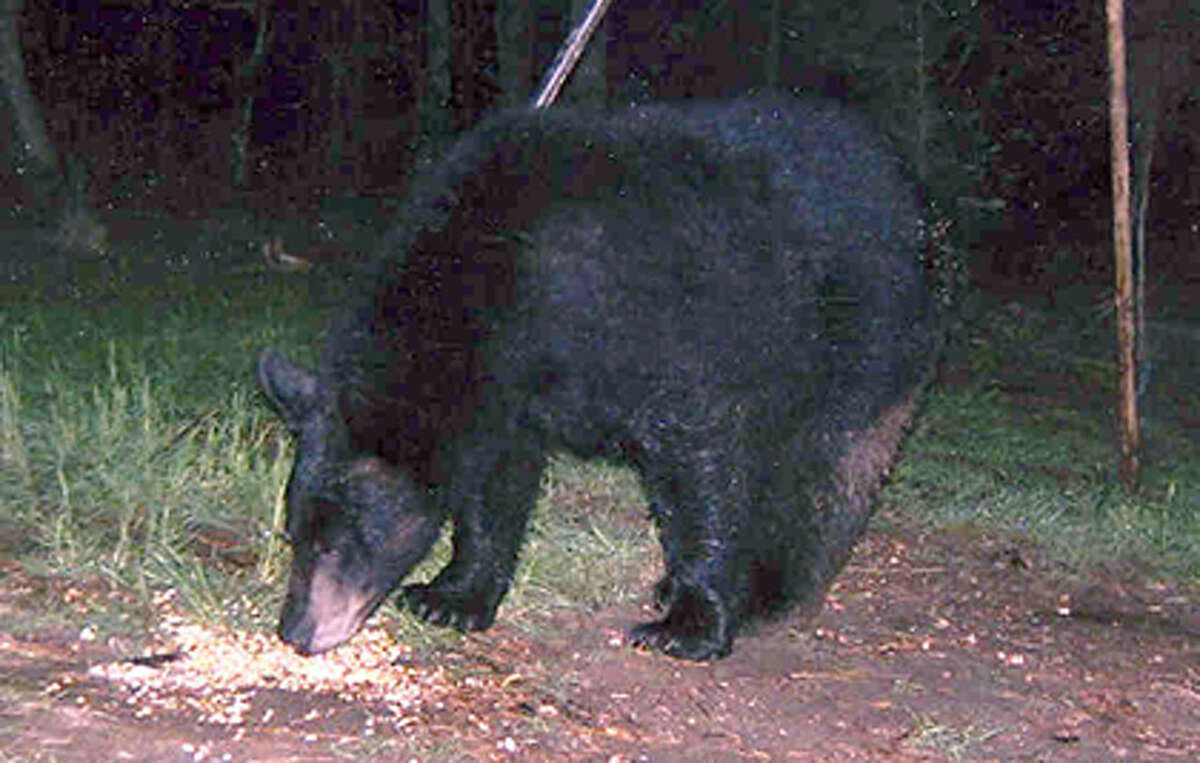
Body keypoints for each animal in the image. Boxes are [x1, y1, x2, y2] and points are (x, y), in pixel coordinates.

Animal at [260, 95, 936, 657]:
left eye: (338, 543)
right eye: (294, 532)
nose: (296, 631)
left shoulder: (662, 341)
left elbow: (700, 469)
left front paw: (688, 626)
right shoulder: (508, 393)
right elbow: (494, 484)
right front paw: (452, 596)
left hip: (862, 336)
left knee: (827, 468)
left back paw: (774, 592)